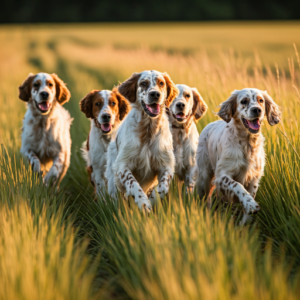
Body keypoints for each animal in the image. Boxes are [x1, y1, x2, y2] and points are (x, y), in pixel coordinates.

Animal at [105, 70, 178, 211]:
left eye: (161, 83)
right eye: (143, 83)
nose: (155, 94)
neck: (148, 131)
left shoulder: (166, 165)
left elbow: (163, 187)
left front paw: (152, 201)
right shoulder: (122, 165)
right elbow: (133, 183)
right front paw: (143, 203)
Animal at [195, 88, 282, 224]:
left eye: (261, 100)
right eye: (244, 101)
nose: (257, 110)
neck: (247, 143)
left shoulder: (254, 178)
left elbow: (249, 197)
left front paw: (244, 223)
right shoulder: (222, 175)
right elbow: (237, 185)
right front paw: (250, 204)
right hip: (204, 176)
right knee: (205, 197)